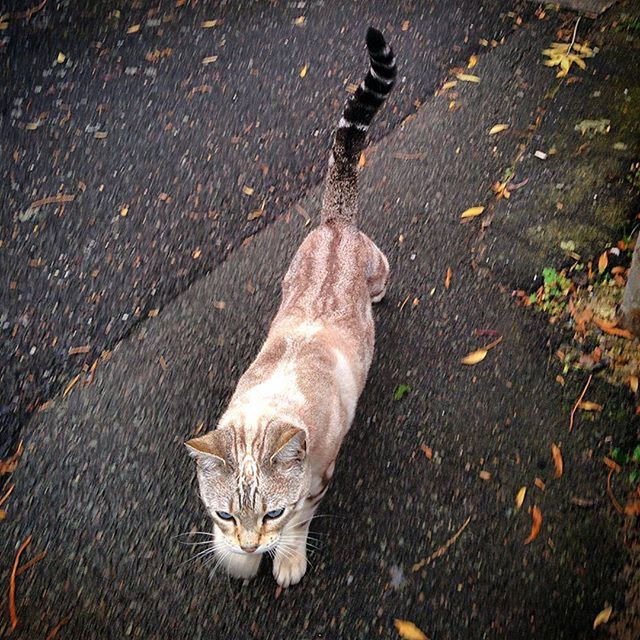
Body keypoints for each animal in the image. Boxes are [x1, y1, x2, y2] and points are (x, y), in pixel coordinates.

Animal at [184, 27, 396, 588]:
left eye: (272, 512)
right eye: (224, 514)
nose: (251, 541)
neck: (273, 405)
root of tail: (335, 223)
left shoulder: (316, 482)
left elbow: (302, 522)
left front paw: (285, 558)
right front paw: (237, 558)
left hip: (380, 265)